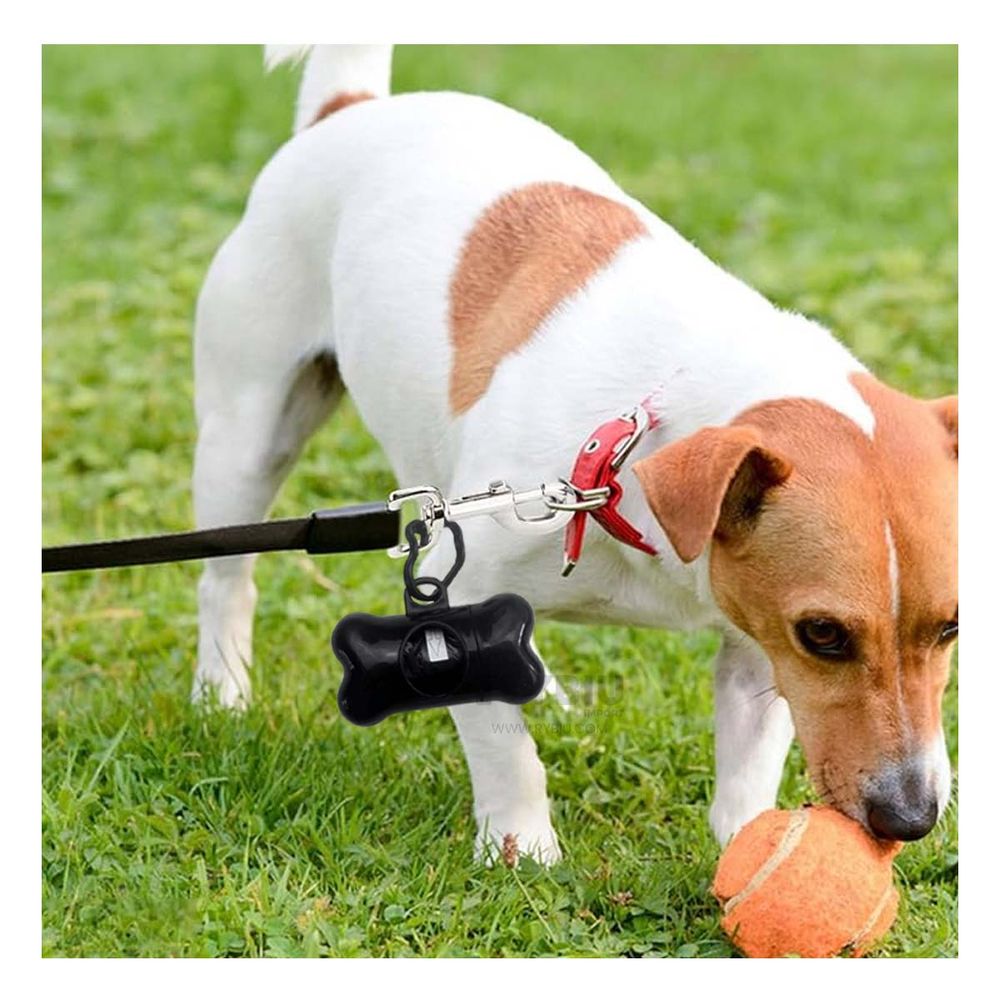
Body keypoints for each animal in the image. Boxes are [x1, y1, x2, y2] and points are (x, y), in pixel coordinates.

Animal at [191, 43, 956, 864]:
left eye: (954, 625)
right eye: (825, 634)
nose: (911, 818)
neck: (628, 470)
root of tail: (352, 107)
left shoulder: (754, 632)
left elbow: (748, 762)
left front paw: (751, 844)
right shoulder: (460, 576)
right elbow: (502, 742)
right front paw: (520, 844)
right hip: (250, 431)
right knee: (227, 578)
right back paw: (221, 693)